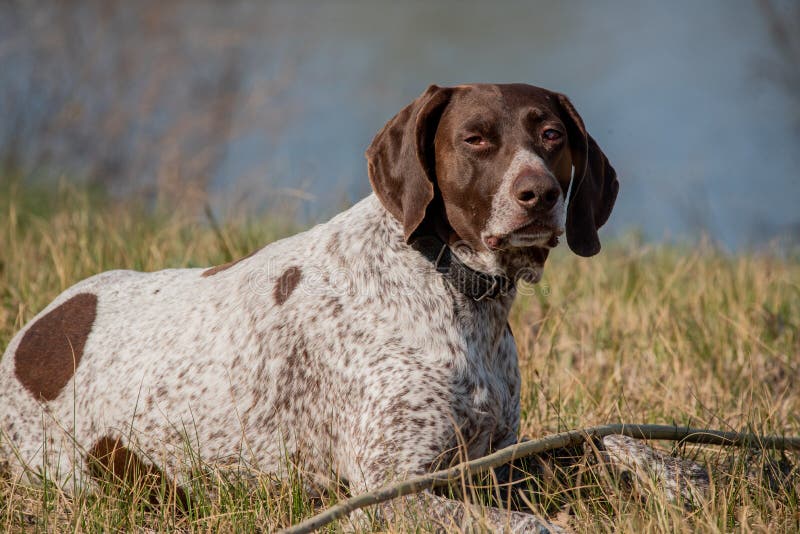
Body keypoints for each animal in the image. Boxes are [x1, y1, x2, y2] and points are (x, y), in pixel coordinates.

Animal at [0, 84, 620, 532]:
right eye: (475, 139)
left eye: (551, 135)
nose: (539, 194)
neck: (447, 283)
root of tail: (27, 339)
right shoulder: (389, 491)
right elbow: (535, 525)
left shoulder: (495, 466)